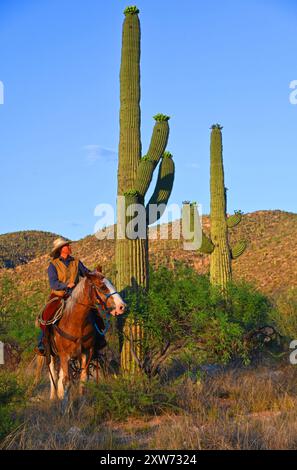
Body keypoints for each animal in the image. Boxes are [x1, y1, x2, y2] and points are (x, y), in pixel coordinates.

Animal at [44, 268, 125, 404]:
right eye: (102, 287)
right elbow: (66, 381)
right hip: (50, 354)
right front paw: (65, 406)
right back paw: (52, 397)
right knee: (53, 375)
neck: (76, 322)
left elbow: (83, 379)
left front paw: (82, 402)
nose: (122, 307)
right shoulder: (64, 355)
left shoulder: (86, 353)